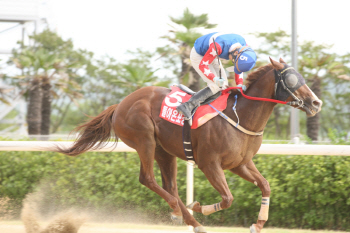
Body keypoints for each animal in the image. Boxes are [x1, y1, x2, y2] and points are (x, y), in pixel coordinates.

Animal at [55, 57, 322, 233]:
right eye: (291, 78)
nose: (316, 103)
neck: (240, 116)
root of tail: (120, 104)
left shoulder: (240, 163)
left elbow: (265, 186)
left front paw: (258, 223)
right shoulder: (209, 163)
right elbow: (227, 198)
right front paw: (199, 206)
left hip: (164, 150)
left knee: (169, 186)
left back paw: (191, 221)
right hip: (144, 139)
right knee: (148, 179)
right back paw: (180, 212)